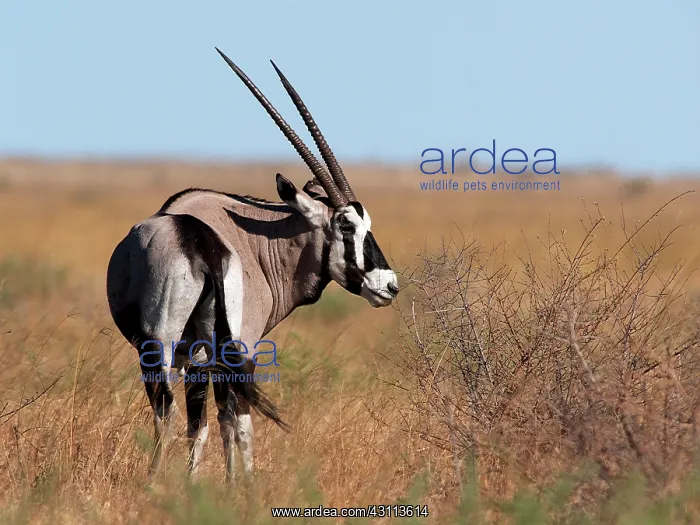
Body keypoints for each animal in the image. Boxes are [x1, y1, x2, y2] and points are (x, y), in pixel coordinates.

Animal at [106, 48, 399, 481]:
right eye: (346, 225)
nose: (389, 285)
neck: (260, 241)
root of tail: (200, 241)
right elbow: (223, 422)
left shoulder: (203, 355)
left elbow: (206, 425)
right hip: (181, 347)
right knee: (199, 415)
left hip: (175, 348)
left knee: (186, 414)